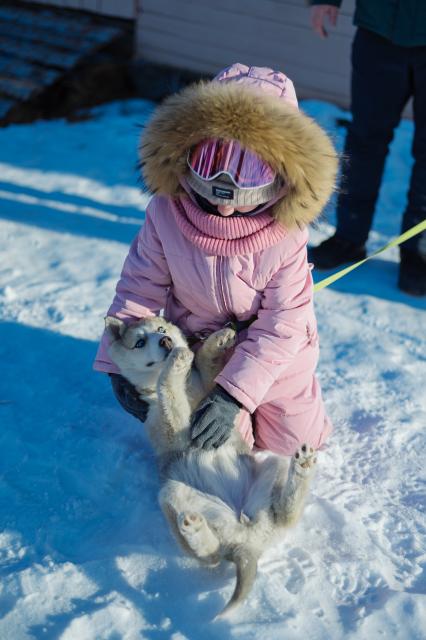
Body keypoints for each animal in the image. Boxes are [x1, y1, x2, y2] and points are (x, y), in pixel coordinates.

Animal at [104, 318, 316, 616]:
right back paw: (192, 527)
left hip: (270, 468)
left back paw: (303, 466)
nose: (167, 342)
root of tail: (249, 541)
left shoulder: (206, 387)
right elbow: (169, 393)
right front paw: (179, 362)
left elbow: (209, 370)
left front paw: (218, 339)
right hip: (170, 494)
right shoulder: (173, 426)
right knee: (213, 556)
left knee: (286, 515)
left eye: (162, 330)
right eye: (140, 342)